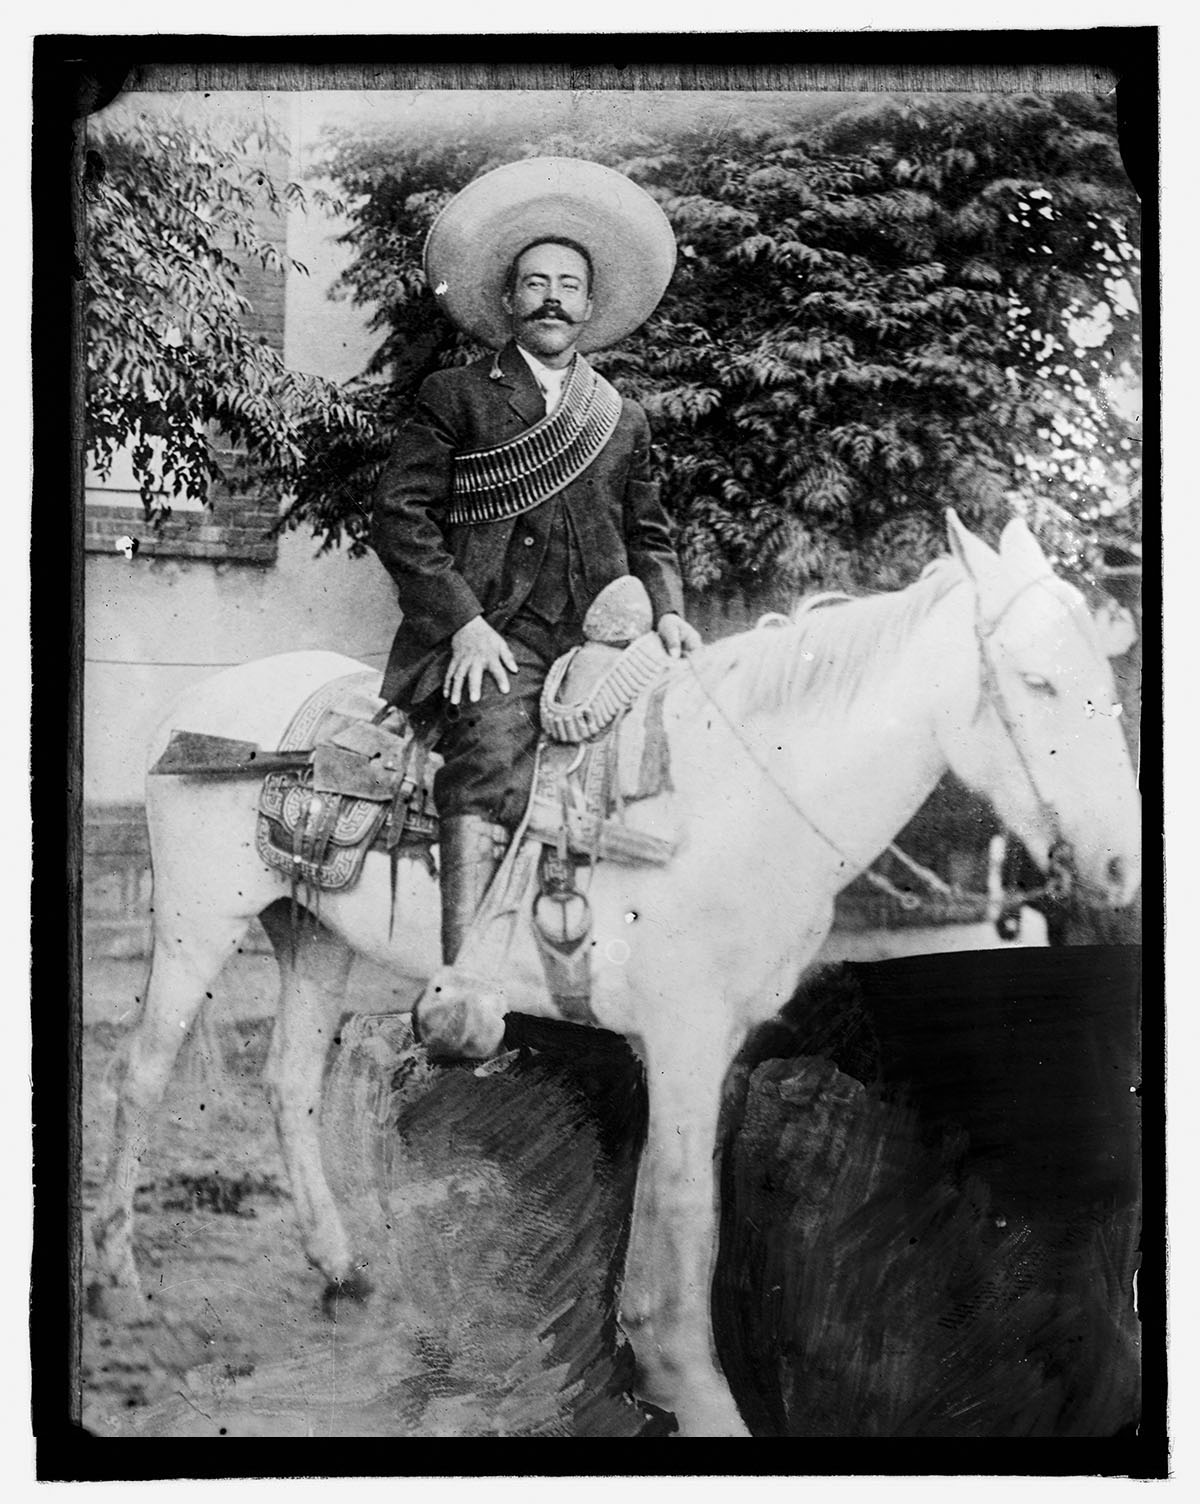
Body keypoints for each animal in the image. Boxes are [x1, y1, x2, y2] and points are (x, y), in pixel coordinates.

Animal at [89, 514, 1142, 1431]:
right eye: (1038, 682)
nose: (1122, 865)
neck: (726, 795)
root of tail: (194, 711)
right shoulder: (681, 1039)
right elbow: (683, 1225)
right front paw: (694, 1393)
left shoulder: (713, 1050)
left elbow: (681, 1213)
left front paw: (657, 1371)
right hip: (195, 924)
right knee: (138, 1080)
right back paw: (119, 1286)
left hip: (313, 933)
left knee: (290, 1082)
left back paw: (341, 1268)